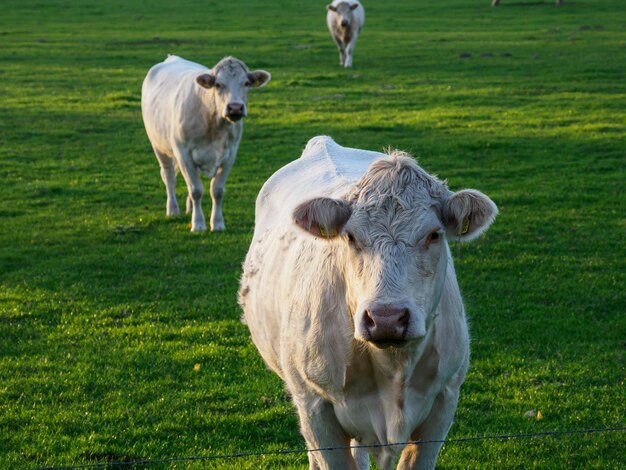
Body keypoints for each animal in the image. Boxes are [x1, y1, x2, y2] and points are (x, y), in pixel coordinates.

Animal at [143, 55, 270, 231]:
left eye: (246, 83)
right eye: (218, 84)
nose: (235, 108)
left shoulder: (230, 154)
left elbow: (216, 190)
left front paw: (217, 223)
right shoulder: (183, 153)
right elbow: (196, 190)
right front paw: (198, 224)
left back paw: (190, 208)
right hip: (159, 146)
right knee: (169, 176)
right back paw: (173, 210)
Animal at [239, 136, 498, 470]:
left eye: (434, 234)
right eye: (350, 236)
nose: (386, 318)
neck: (393, 368)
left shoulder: (443, 402)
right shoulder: (316, 408)